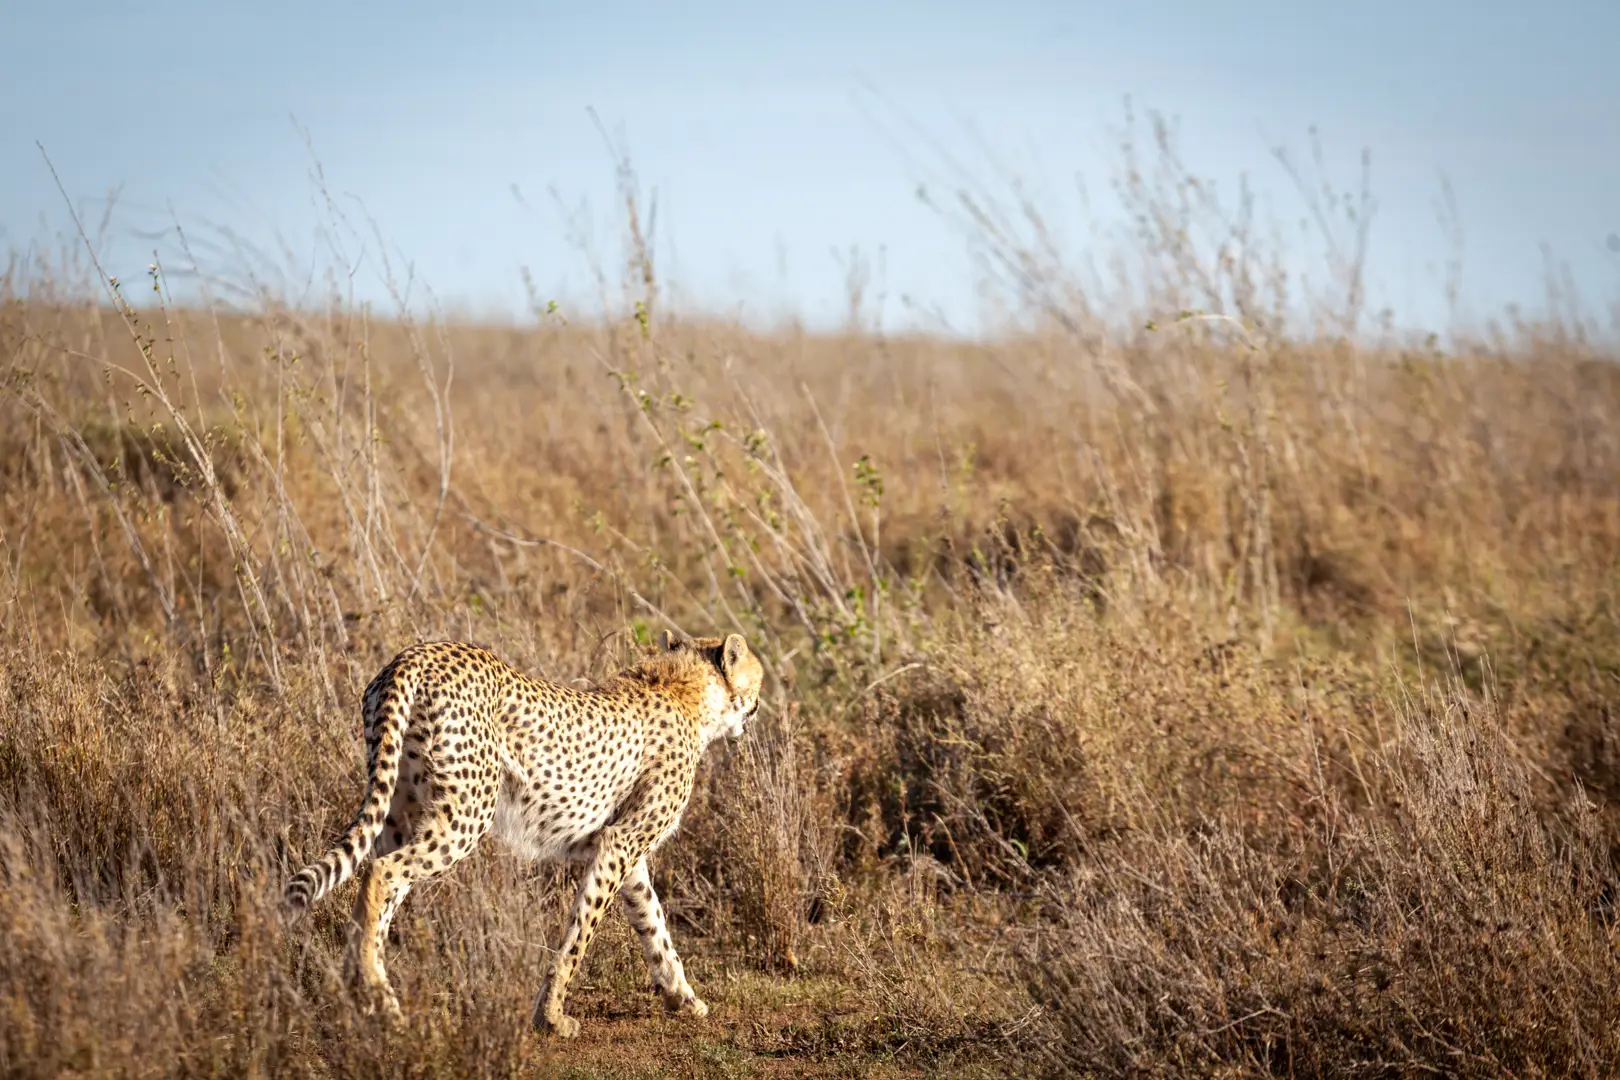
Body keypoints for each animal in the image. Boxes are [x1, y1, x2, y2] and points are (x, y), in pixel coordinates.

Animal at [283, 634, 764, 1036]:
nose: (759, 706)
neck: (685, 690)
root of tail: (415, 654)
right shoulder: (620, 842)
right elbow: (579, 937)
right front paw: (552, 1017)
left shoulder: (627, 854)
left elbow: (654, 923)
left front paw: (683, 997)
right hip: (467, 810)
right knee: (382, 872)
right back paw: (375, 994)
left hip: (401, 811)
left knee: (375, 886)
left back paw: (362, 993)